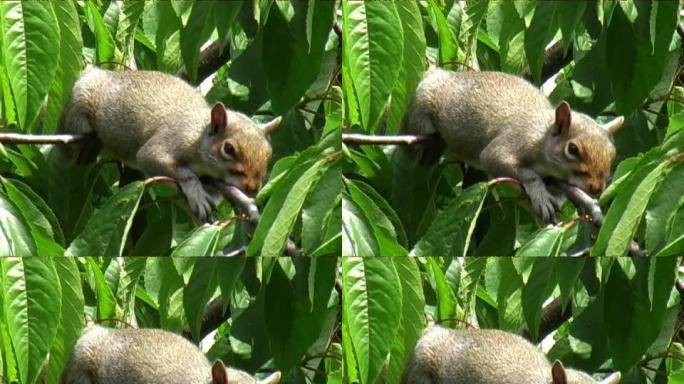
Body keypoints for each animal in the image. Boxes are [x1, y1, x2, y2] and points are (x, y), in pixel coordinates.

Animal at [58, 67, 280, 220]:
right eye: (228, 149)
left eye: (269, 153)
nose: (253, 188)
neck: (198, 134)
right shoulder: (169, 142)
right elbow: (175, 168)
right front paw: (197, 194)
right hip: (79, 103)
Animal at [404, 70, 624, 222]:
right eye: (572, 150)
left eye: (612, 153)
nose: (596, 188)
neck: (541, 135)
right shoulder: (512, 142)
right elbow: (514, 168)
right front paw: (540, 194)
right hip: (423, 101)